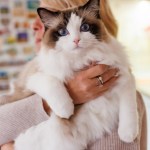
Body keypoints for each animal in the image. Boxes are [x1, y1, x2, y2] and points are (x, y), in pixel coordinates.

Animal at [0, 0, 139, 149]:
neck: (82, 60)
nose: (76, 40)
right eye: (63, 32)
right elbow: (53, 84)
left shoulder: (124, 77)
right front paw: (66, 110)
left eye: (85, 27)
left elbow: (129, 111)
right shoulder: (33, 78)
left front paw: (128, 136)